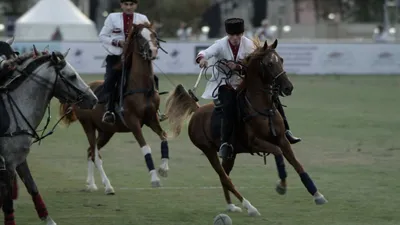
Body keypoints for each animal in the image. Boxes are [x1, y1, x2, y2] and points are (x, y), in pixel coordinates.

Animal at [0, 40, 97, 225]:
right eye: (72, 76)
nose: (94, 100)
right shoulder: (7, 164)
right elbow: (8, 204)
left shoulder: (19, 160)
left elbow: (32, 187)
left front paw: (48, 219)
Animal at [57, 23, 169, 194]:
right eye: (139, 36)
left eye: (154, 34)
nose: (153, 51)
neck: (142, 87)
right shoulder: (133, 122)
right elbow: (146, 148)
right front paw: (155, 178)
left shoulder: (152, 119)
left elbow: (164, 136)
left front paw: (163, 168)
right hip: (88, 126)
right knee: (95, 154)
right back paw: (107, 186)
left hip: (107, 131)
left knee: (90, 152)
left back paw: (91, 184)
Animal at [164, 39, 326, 215]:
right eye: (269, 63)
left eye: (281, 60)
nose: (288, 87)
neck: (262, 108)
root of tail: (197, 110)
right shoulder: (255, 143)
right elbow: (278, 153)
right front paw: (281, 186)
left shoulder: (282, 139)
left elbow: (298, 165)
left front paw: (317, 195)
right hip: (208, 150)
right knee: (224, 176)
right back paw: (249, 207)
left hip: (231, 154)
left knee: (225, 175)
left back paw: (231, 206)